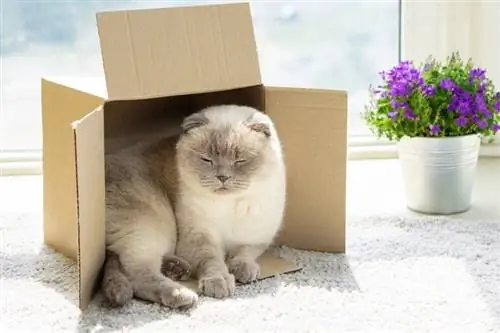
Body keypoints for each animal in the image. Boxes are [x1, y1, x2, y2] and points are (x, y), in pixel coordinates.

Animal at [175, 104, 288, 298]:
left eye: (239, 160)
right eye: (207, 159)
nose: (223, 177)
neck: (228, 204)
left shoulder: (254, 238)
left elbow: (244, 253)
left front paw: (243, 270)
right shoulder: (199, 238)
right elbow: (212, 261)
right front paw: (218, 283)